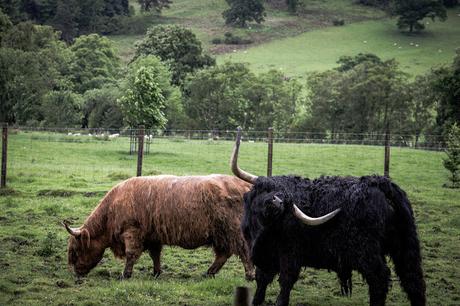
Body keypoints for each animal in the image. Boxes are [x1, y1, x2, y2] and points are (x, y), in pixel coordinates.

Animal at [60, 175, 255, 280]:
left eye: (75, 251)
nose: (77, 273)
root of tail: (244, 184)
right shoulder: (153, 236)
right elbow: (155, 255)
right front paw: (156, 273)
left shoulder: (132, 231)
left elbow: (131, 254)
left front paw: (125, 275)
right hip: (220, 233)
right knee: (223, 253)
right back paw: (209, 273)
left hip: (234, 230)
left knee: (244, 251)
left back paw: (249, 275)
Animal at [232, 130, 426, 306]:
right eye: (266, 189)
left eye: (286, 199)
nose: (278, 201)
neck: (264, 233)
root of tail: (379, 182)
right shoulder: (264, 257)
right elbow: (262, 281)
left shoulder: (290, 253)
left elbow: (285, 283)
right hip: (405, 246)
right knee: (413, 281)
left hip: (367, 250)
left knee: (380, 279)